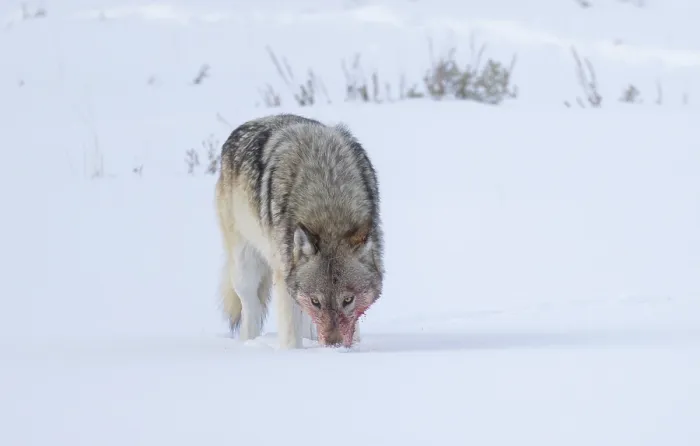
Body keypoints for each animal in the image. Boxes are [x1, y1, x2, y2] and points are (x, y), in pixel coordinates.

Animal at [214, 113, 384, 349]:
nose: (334, 346)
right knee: (250, 308)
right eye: (316, 301)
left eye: (348, 300)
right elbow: (291, 337)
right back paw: (249, 342)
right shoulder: (284, 276)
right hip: (245, 266)